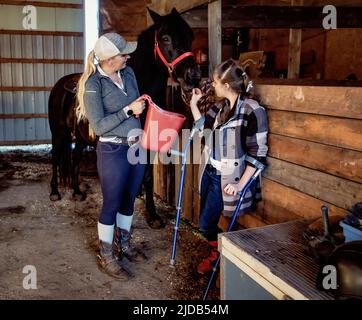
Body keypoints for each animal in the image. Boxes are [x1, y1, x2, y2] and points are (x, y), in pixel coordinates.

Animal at [47, 7, 201, 228]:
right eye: (165, 38)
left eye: (190, 36)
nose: (193, 76)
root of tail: (60, 85)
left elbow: (146, 175)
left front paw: (150, 211)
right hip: (58, 133)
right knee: (55, 158)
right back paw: (54, 191)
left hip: (80, 137)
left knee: (75, 159)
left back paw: (76, 191)